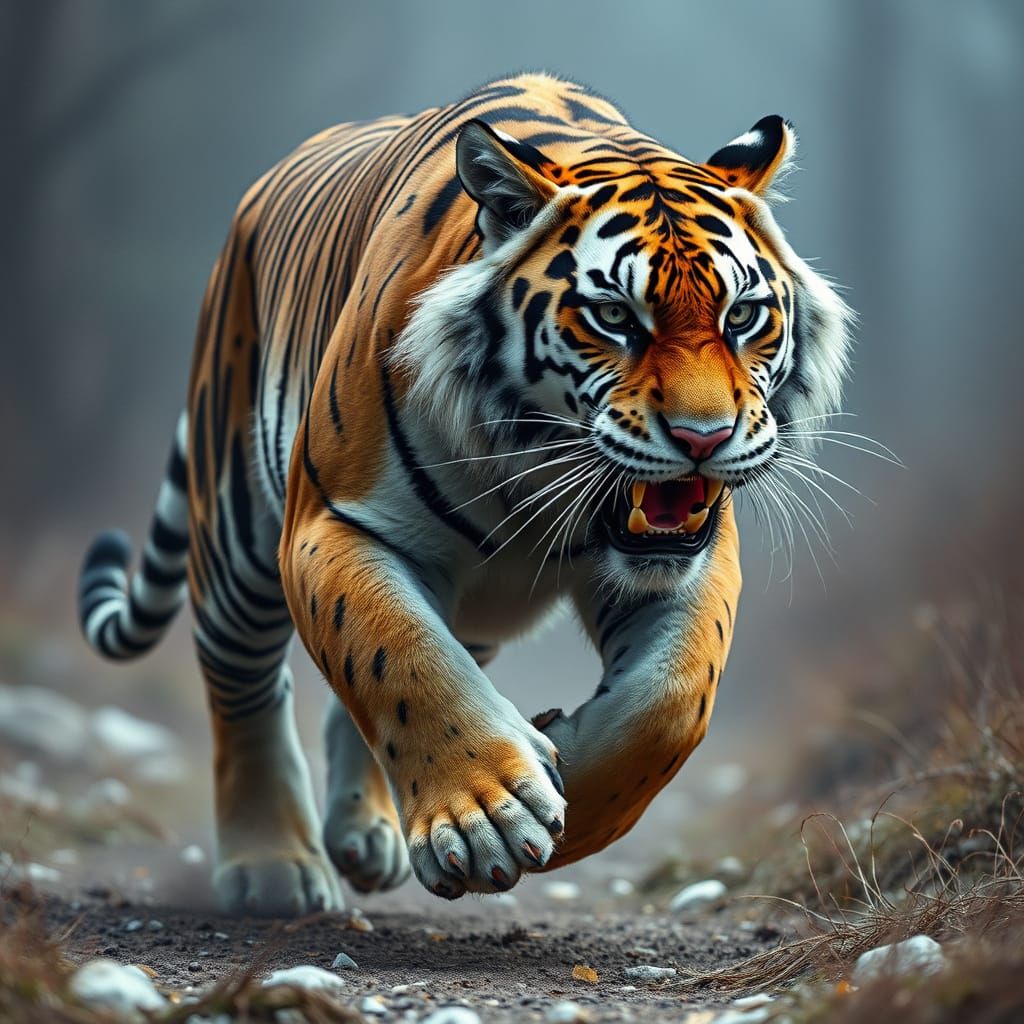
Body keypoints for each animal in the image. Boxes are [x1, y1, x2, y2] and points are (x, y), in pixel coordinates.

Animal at [77, 73, 851, 916]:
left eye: (742, 315)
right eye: (615, 316)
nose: (704, 438)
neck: (532, 467)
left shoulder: (692, 557)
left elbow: (670, 700)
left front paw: (564, 777)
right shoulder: (333, 523)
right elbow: (399, 653)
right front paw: (486, 817)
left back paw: (364, 836)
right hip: (236, 528)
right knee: (244, 680)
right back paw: (273, 869)